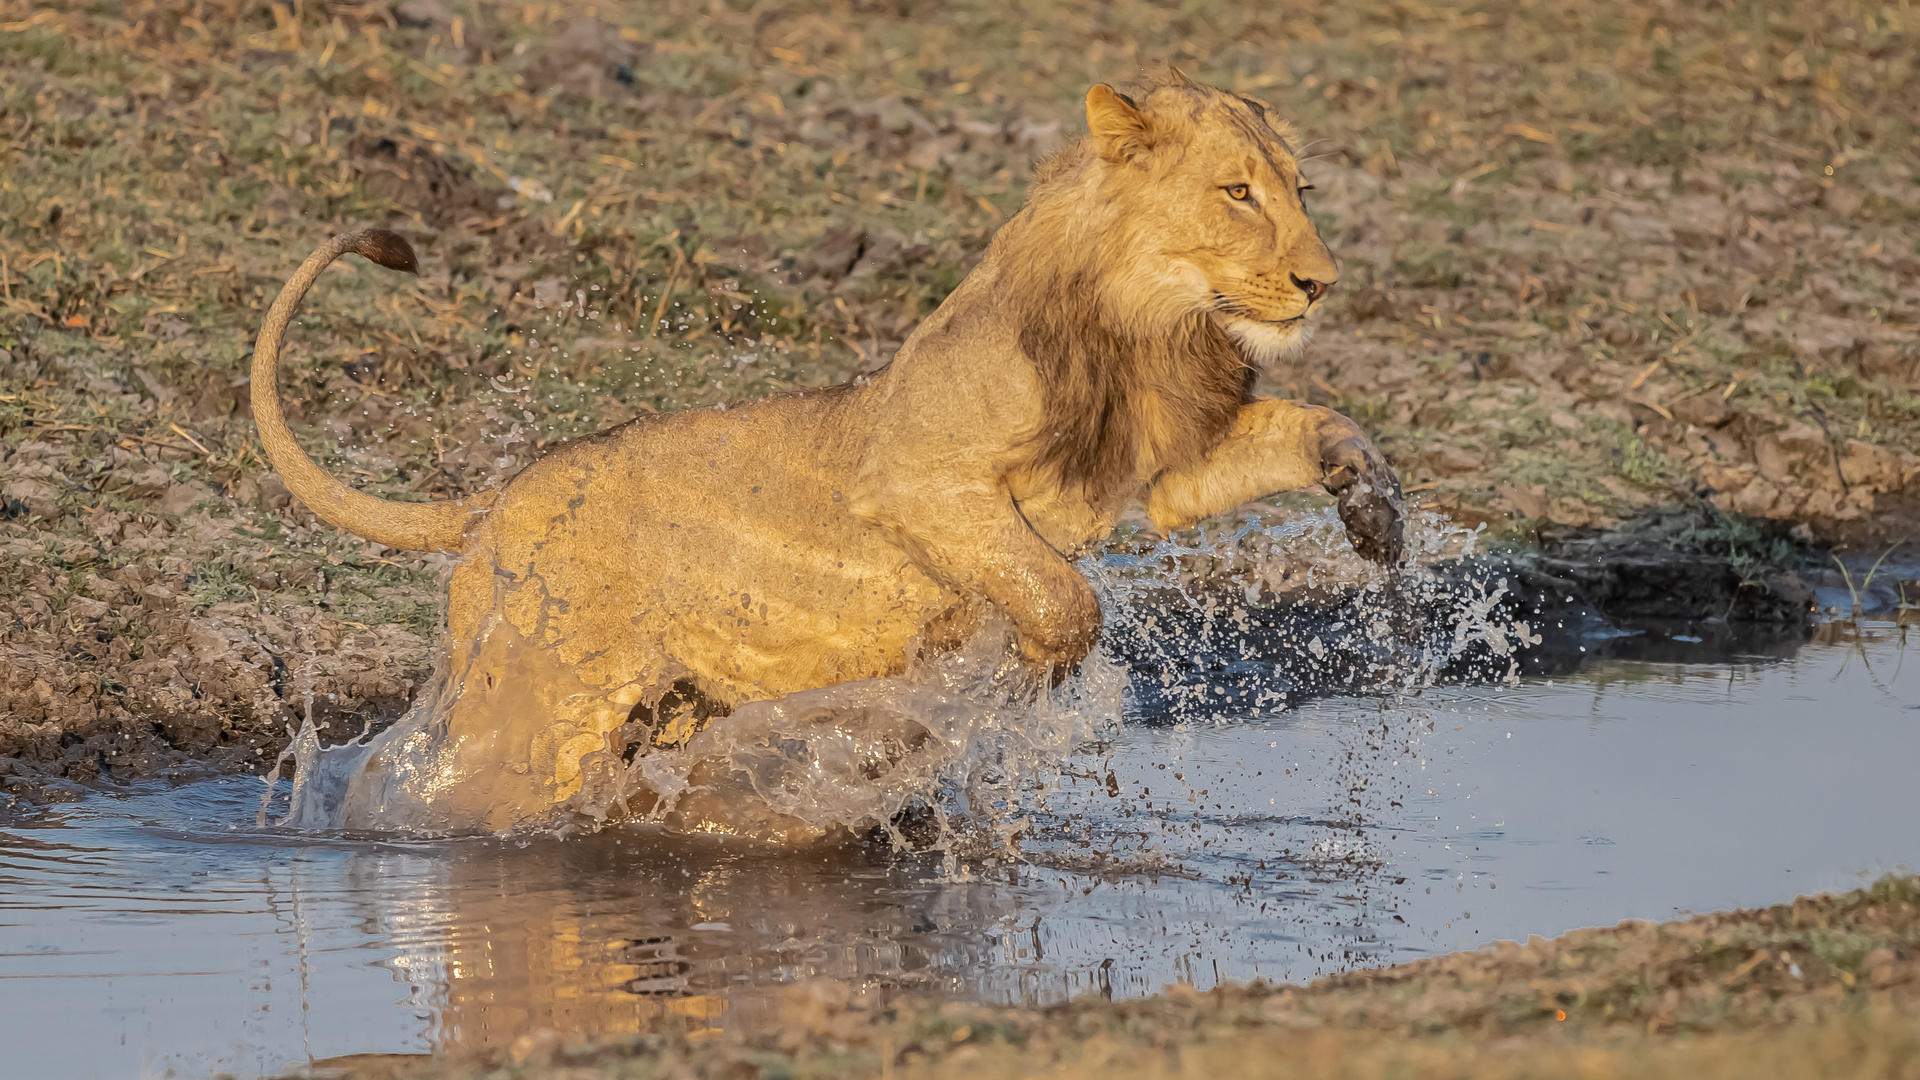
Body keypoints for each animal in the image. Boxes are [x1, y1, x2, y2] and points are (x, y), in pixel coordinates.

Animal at [247, 71, 1405, 834]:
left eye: (1298, 189)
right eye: (1238, 193)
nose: (1322, 284)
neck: (1150, 326)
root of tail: (492, 499)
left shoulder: (1165, 472)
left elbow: (1312, 424)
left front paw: (1376, 508)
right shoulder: (917, 479)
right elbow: (1062, 593)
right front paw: (991, 683)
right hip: (539, 704)